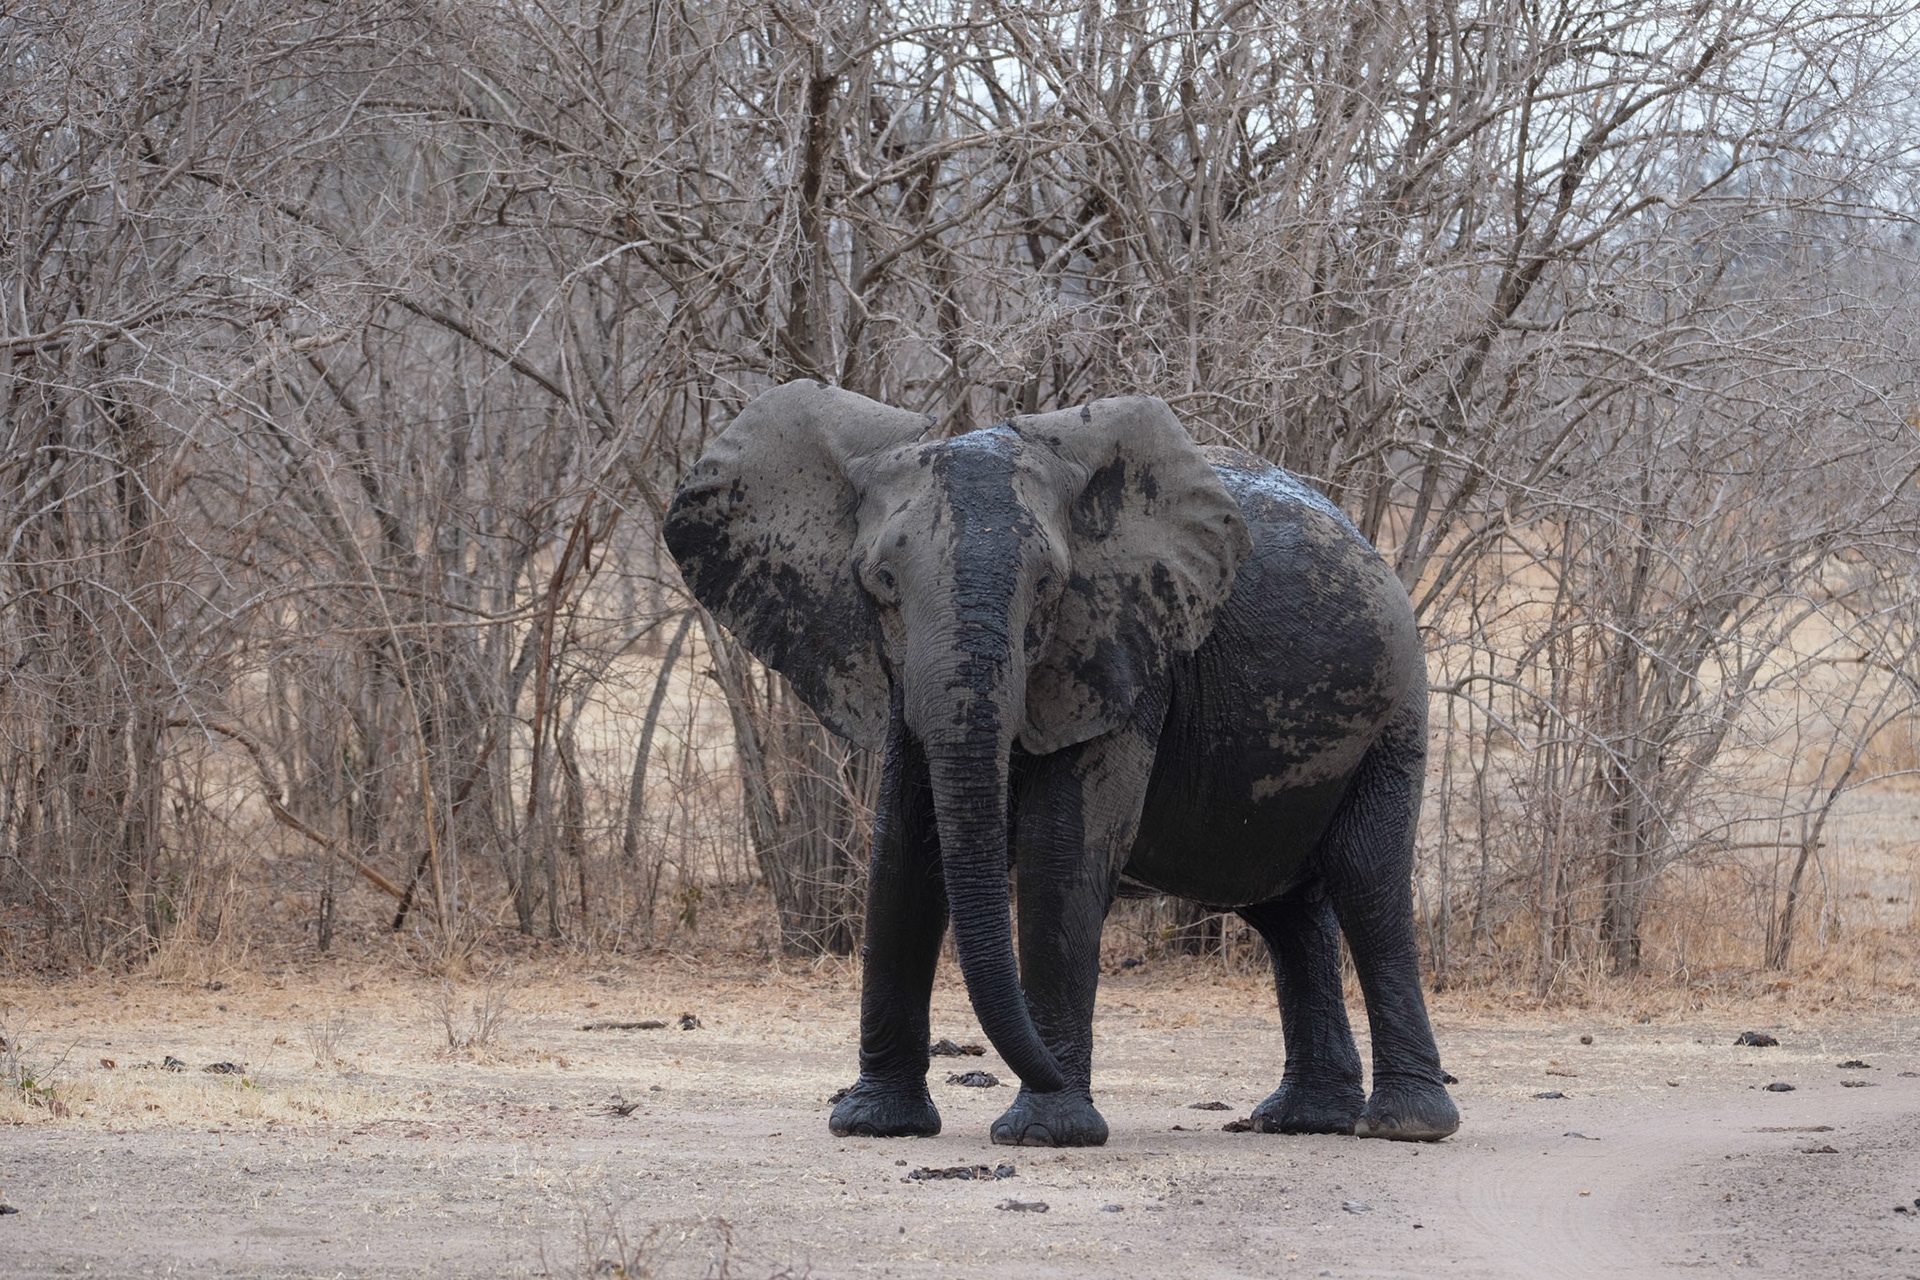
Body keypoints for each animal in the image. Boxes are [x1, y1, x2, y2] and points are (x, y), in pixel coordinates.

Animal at [663, 381, 1459, 1146]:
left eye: (1048, 585)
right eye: (882, 580)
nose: (1002, 1067)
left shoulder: (1127, 648)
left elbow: (1061, 849)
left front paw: (1045, 1132)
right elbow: (903, 854)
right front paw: (873, 1126)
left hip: (1397, 712)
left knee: (1366, 880)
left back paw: (1407, 1125)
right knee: (1286, 912)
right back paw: (1302, 1119)